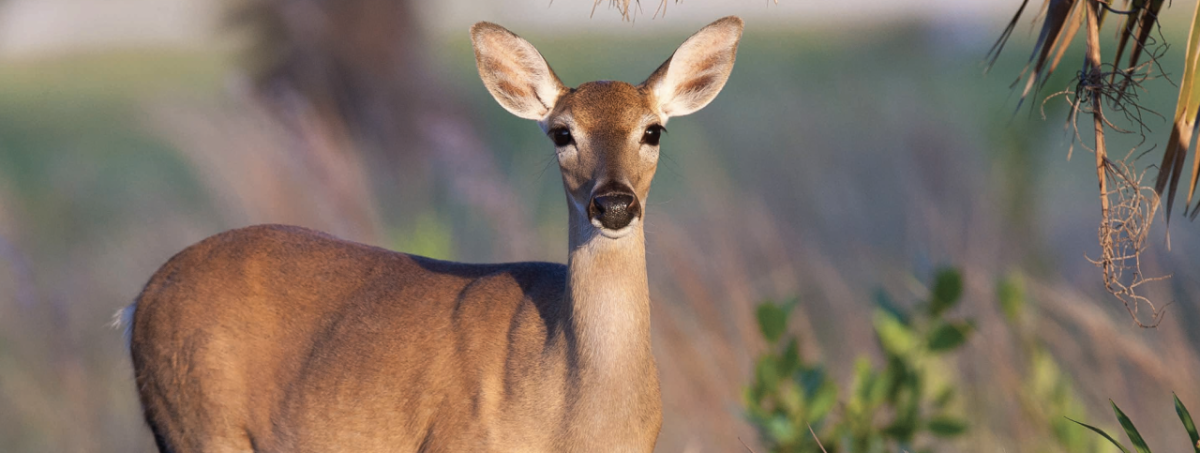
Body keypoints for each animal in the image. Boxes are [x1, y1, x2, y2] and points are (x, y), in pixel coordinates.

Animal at [129, 15, 739, 450]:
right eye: (562, 133)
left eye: (653, 130)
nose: (613, 204)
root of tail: (140, 300)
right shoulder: (459, 441)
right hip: (199, 420)